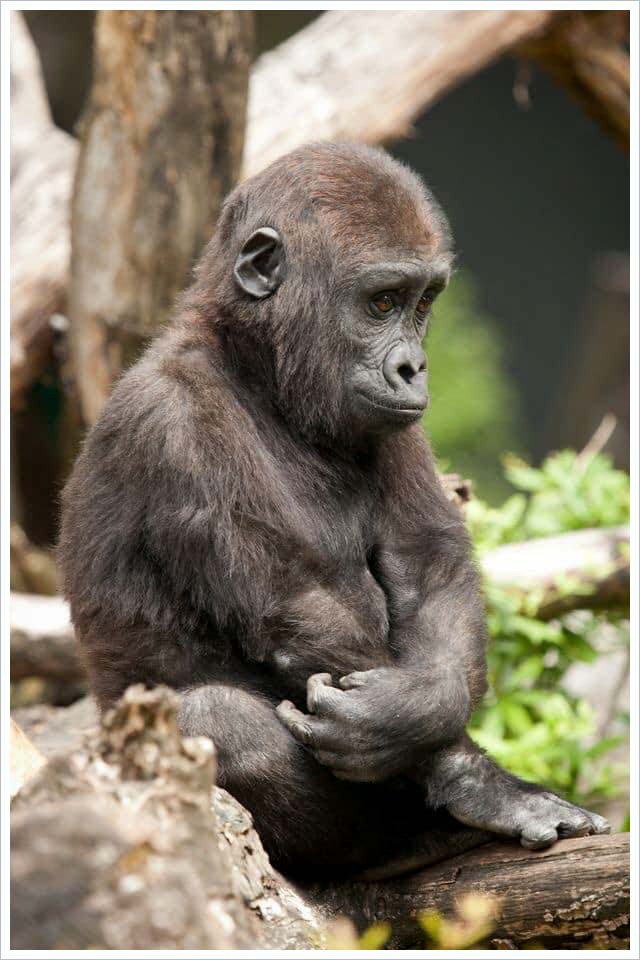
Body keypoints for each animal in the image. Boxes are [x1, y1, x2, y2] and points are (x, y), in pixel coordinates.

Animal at [59, 142, 609, 878]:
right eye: (381, 302)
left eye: (422, 302)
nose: (413, 367)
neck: (256, 370)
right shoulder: (172, 425)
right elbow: (296, 610)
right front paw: (478, 780)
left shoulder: (397, 422)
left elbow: (430, 569)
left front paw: (417, 718)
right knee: (216, 721)